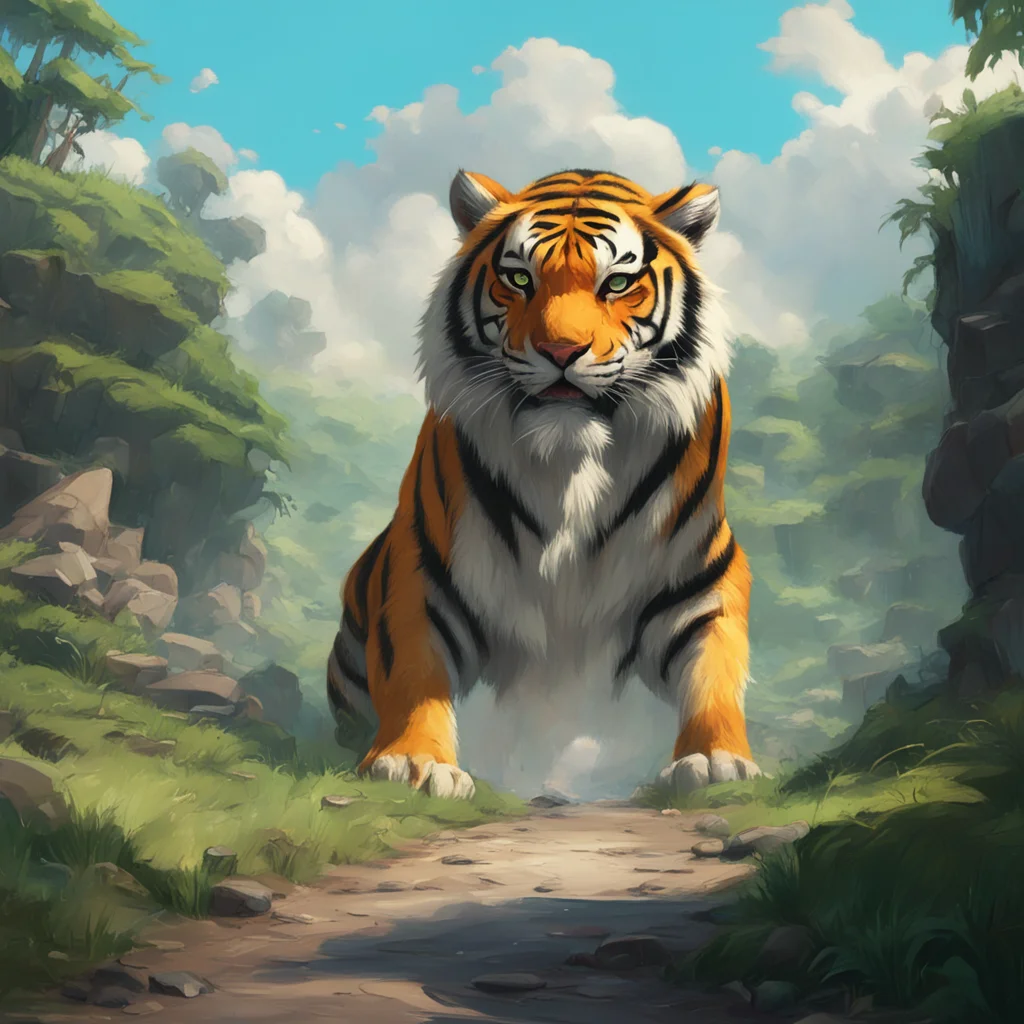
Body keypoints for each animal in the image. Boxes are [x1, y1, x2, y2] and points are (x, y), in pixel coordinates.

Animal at [326, 167, 760, 800]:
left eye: (618, 282)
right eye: (518, 278)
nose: (561, 350)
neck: (569, 460)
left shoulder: (701, 578)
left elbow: (714, 671)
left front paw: (714, 759)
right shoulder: (423, 570)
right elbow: (412, 672)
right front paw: (412, 761)